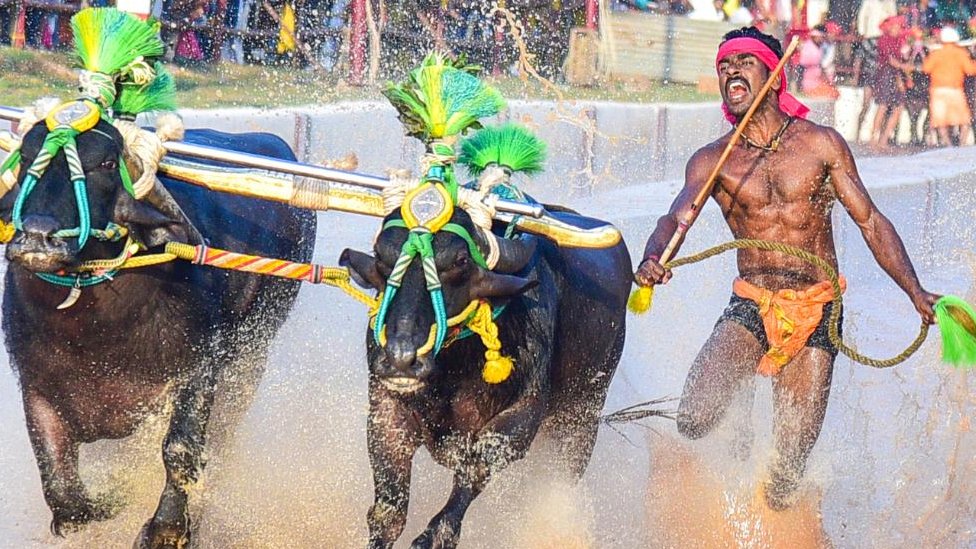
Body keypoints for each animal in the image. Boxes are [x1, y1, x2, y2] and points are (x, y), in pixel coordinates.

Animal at [3, 121, 314, 548]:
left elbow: (181, 450)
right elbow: (63, 490)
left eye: (105, 163)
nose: (37, 236)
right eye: (27, 156)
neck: (95, 331)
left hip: (252, 355)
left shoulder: (200, 368)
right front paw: (114, 498)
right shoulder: (35, 384)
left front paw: (166, 528)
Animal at [344, 207, 628, 548]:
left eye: (460, 261)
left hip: (580, 422)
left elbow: (473, 471)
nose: (401, 358)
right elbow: (388, 513)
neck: (452, 372)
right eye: (381, 256)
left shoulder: (522, 418)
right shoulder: (386, 413)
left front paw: (432, 536)